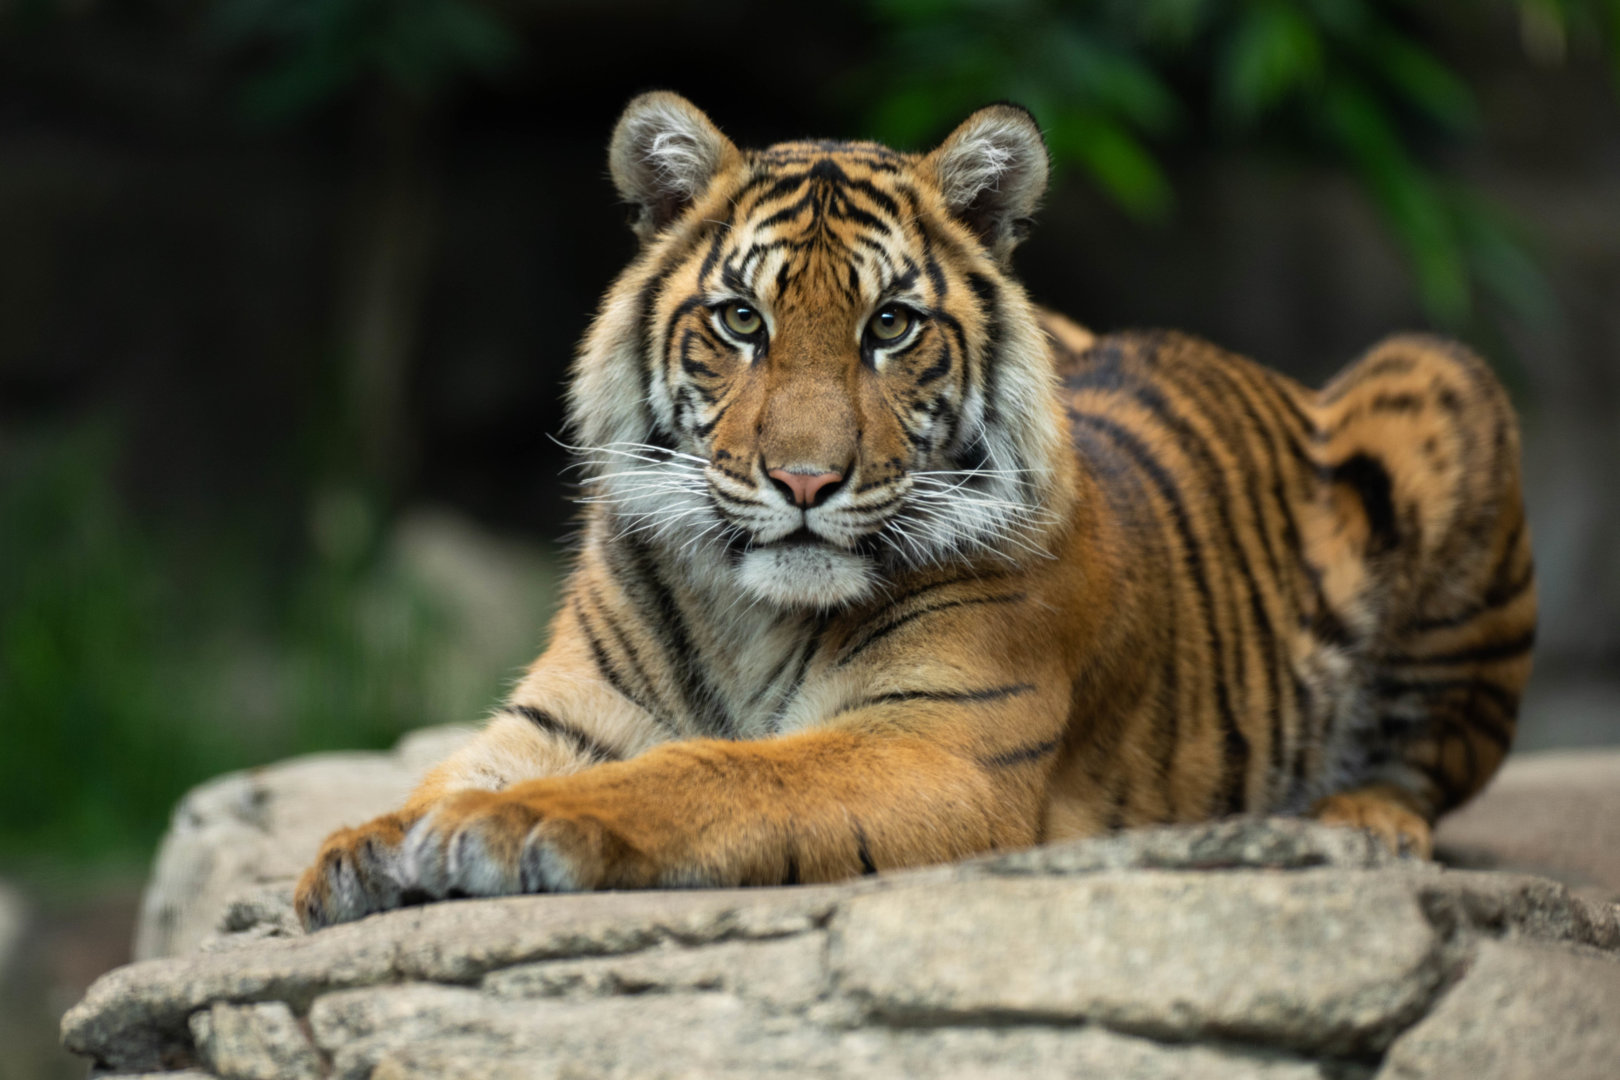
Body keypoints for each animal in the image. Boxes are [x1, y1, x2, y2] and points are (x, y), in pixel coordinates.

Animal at [295, 92, 1536, 930]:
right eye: (740, 320)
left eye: (889, 325)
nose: (804, 481)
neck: (750, 611)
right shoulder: (558, 722)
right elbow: (444, 778)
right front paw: (362, 851)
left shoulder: (932, 743)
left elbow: (716, 771)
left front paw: (509, 832)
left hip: (1440, 384)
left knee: (1426, 770)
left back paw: (1353, 823)